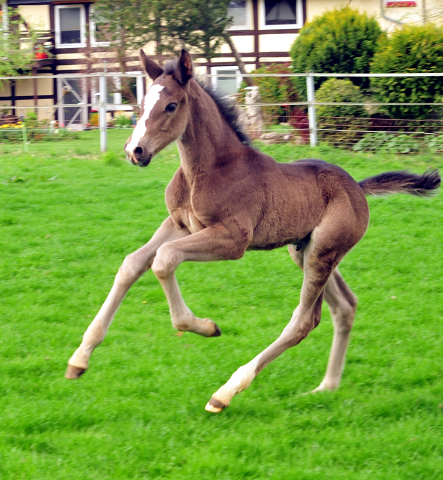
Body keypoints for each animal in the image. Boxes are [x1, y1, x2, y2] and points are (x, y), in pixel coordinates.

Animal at [65, 50, 440, 414]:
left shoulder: (233, 239)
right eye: (142, 106)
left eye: (171, 105)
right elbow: (133, 263)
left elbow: (164, 260)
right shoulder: (178, 225)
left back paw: (225, 393)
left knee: (305, 319)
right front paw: (80, 359)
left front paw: (205, 326)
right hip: (305, 251)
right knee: (344, 306)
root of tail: (359, 189)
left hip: (323, 252)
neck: (209, 169)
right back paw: (326, 387)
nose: (135, 151)